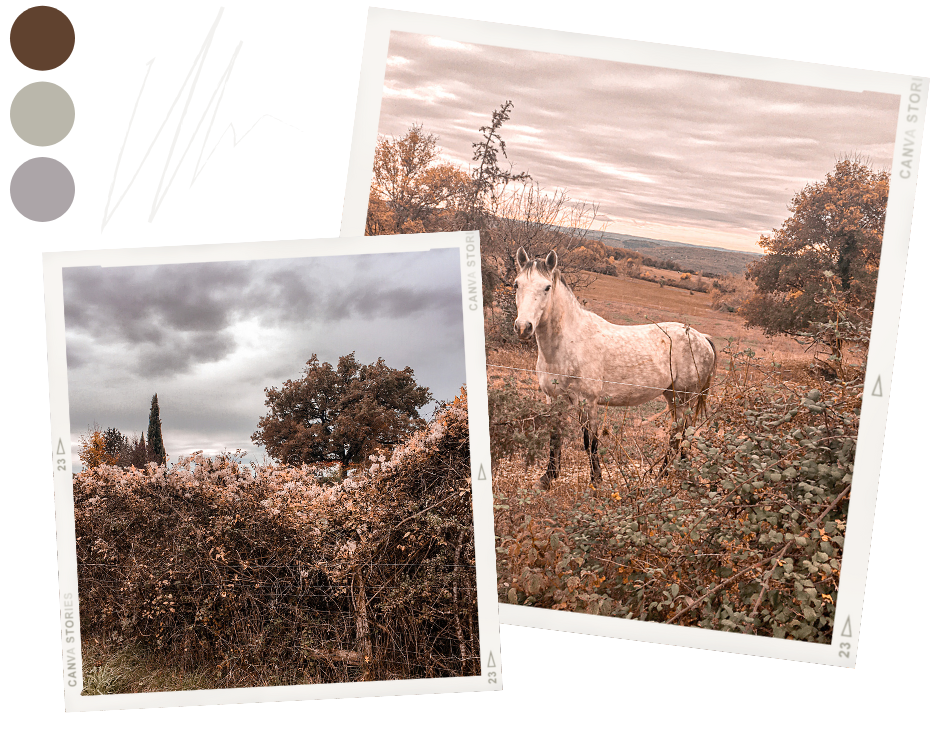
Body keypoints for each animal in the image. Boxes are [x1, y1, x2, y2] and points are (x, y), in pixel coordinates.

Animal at [516, 250, 716, 490]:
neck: (568, 342)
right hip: (673, 397)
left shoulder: (588, 401)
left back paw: (666, 476)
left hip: (686, 397)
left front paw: (596, 482)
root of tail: (702, 337)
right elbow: (555, 436)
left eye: (547, 287)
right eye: (517, 284)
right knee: (681, 432)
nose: (523, 327)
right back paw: (674, 474)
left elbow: (590, 441)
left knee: (681, 433)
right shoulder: (553, 399)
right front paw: (547, 478)